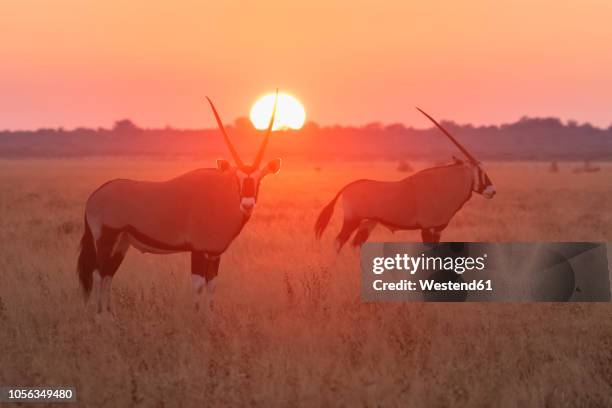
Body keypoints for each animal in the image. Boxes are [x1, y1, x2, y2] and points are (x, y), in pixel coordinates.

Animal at [316, 108, 498, 249]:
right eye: (479, 170)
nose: (492, 191)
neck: (443, 184)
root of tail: (347, 187)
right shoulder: (428, 229)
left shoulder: (437, 230)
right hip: (352, 220)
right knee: (338, 242)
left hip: (367, 223)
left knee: (355, 245)